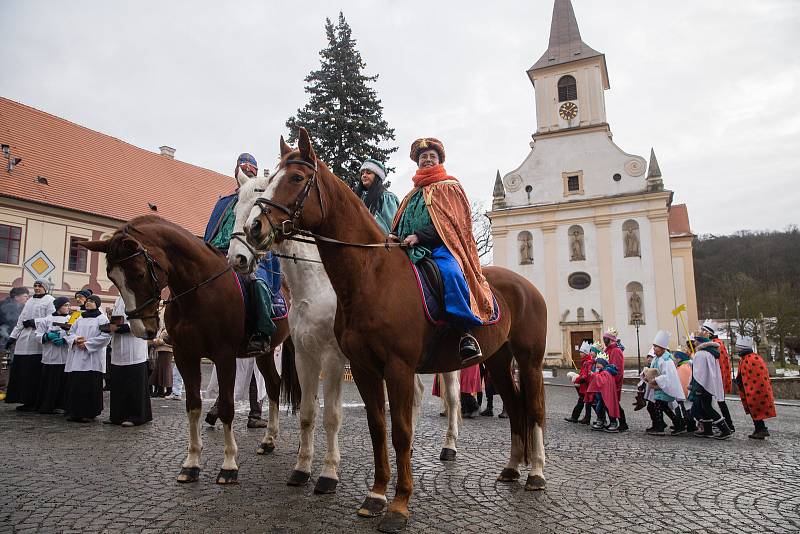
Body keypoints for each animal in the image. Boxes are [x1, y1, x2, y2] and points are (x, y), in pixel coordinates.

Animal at [80, 216, 296, 488]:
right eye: (112, 278)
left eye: (138, 274)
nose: (142, 329)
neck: (198, 291)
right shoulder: (185, 356)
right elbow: (193, 406)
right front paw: (191, 463)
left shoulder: (225, 357)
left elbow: (227, 406)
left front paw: (229, 465)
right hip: (265, 353)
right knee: (274, 385)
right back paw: (268, 441)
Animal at [227, 175, 462, 494]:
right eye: (236, 207)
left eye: (258, 200)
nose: (236, 258)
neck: (317, 285)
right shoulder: (305, 354)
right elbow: (308, 413)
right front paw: (302, 466)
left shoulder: (334, 359)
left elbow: (331, 416)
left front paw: (328, 473)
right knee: (416, 394)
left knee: (452, 398)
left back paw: (449, 446)